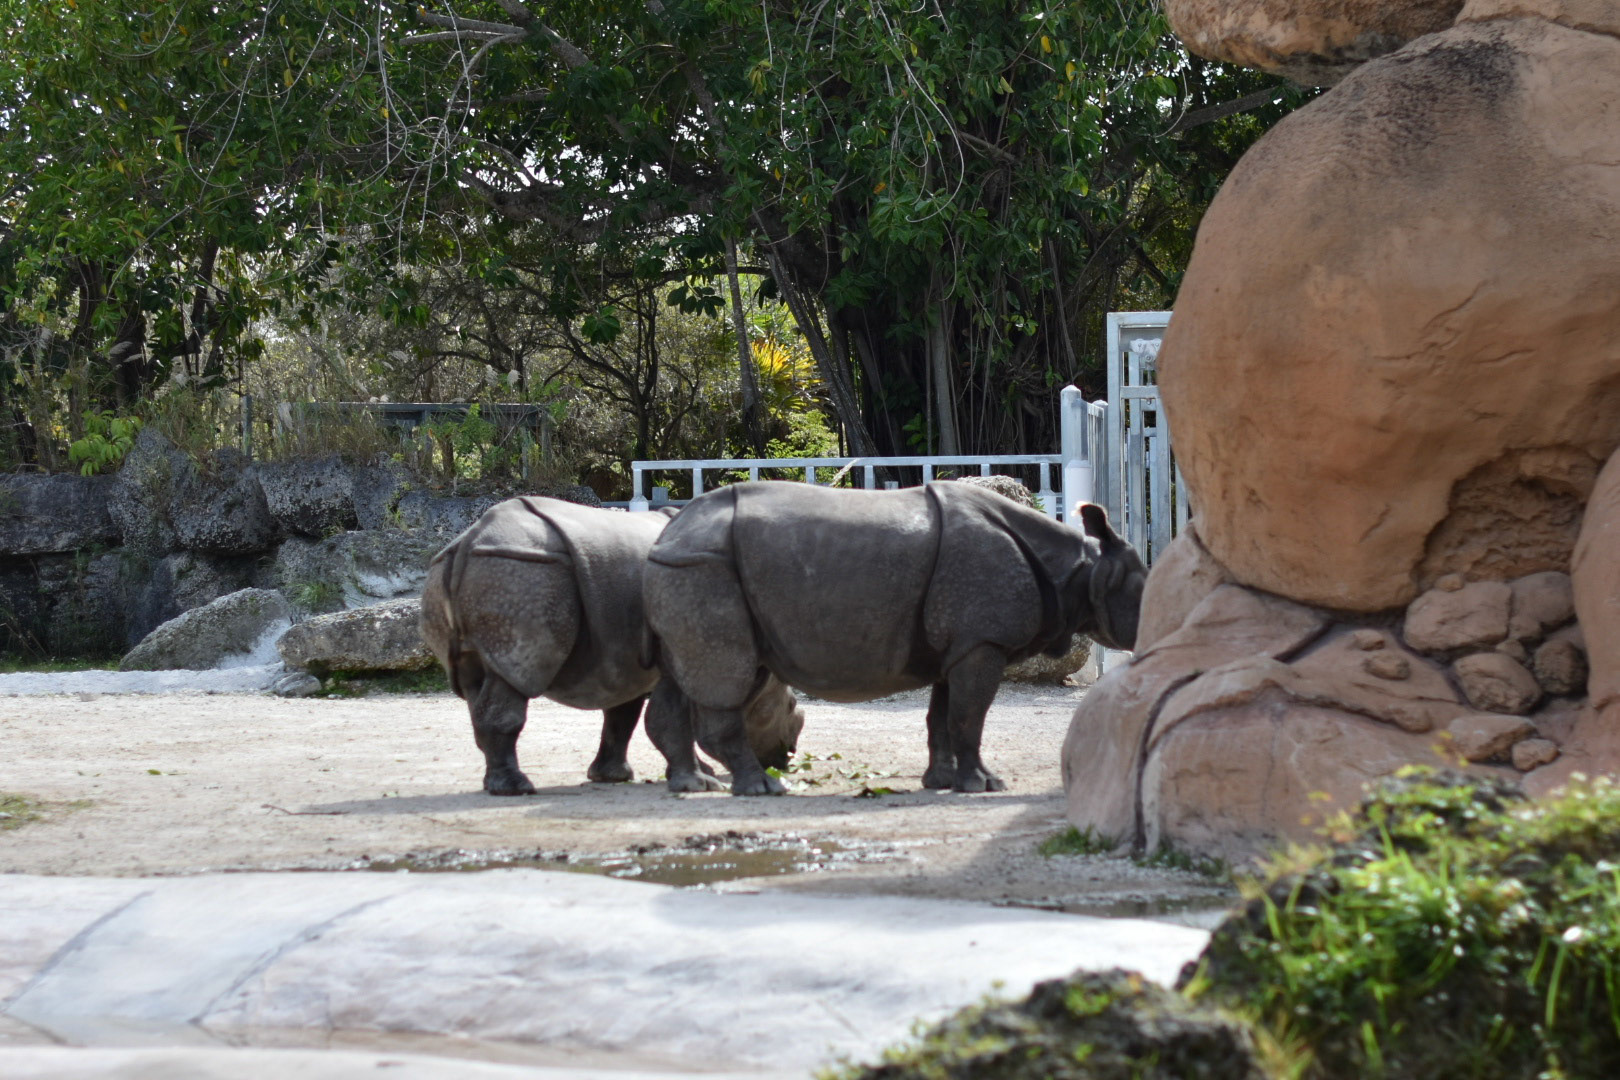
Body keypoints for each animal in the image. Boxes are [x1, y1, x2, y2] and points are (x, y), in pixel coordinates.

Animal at [420, 496, 803, 795]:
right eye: (789, 707)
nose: (787, 756)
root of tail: (469, 540)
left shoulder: (628, 661)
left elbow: (622, 716)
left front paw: (614, 777)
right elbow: (671, 716)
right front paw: (702, 779)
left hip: (466, 572)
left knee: (474, 682)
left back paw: (494, 783)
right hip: (521, 571)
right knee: (515, 676)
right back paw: (516, 788)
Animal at [641, 480, 1146, 795]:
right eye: (1145, 592)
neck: (1080, 567)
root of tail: (668, 532)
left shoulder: (958, 647)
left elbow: (944, 716)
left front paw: (941, 781)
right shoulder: (982, 642)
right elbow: (970, 716)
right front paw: (985, 785)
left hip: (690, 567)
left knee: (681, 676)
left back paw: (695, 784)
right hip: (706, 567)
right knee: (726, 675)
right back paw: (761, 789)